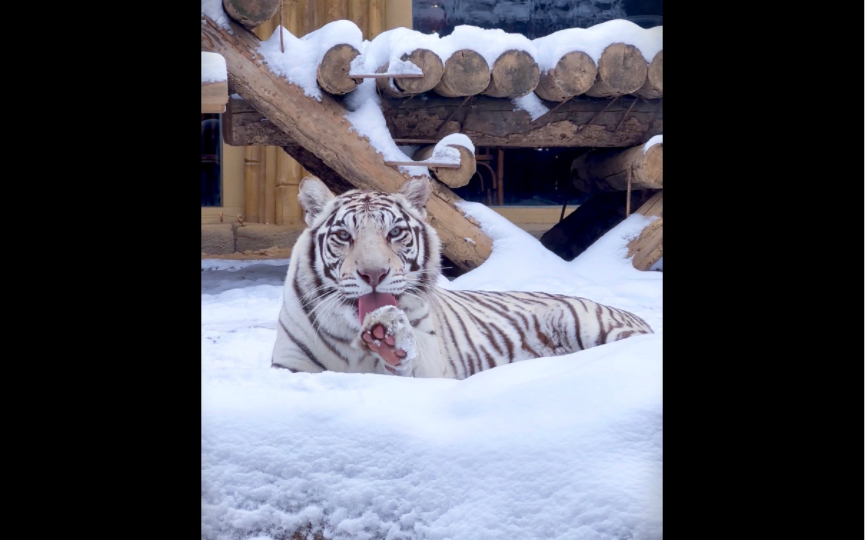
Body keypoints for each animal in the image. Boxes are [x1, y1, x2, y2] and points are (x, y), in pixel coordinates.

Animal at [270, 175, 648, 378]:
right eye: (343, 235)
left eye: (395, 233)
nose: (374, 273)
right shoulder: (289, 364)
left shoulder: (433, 365)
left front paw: (390, 336)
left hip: (588, 323)